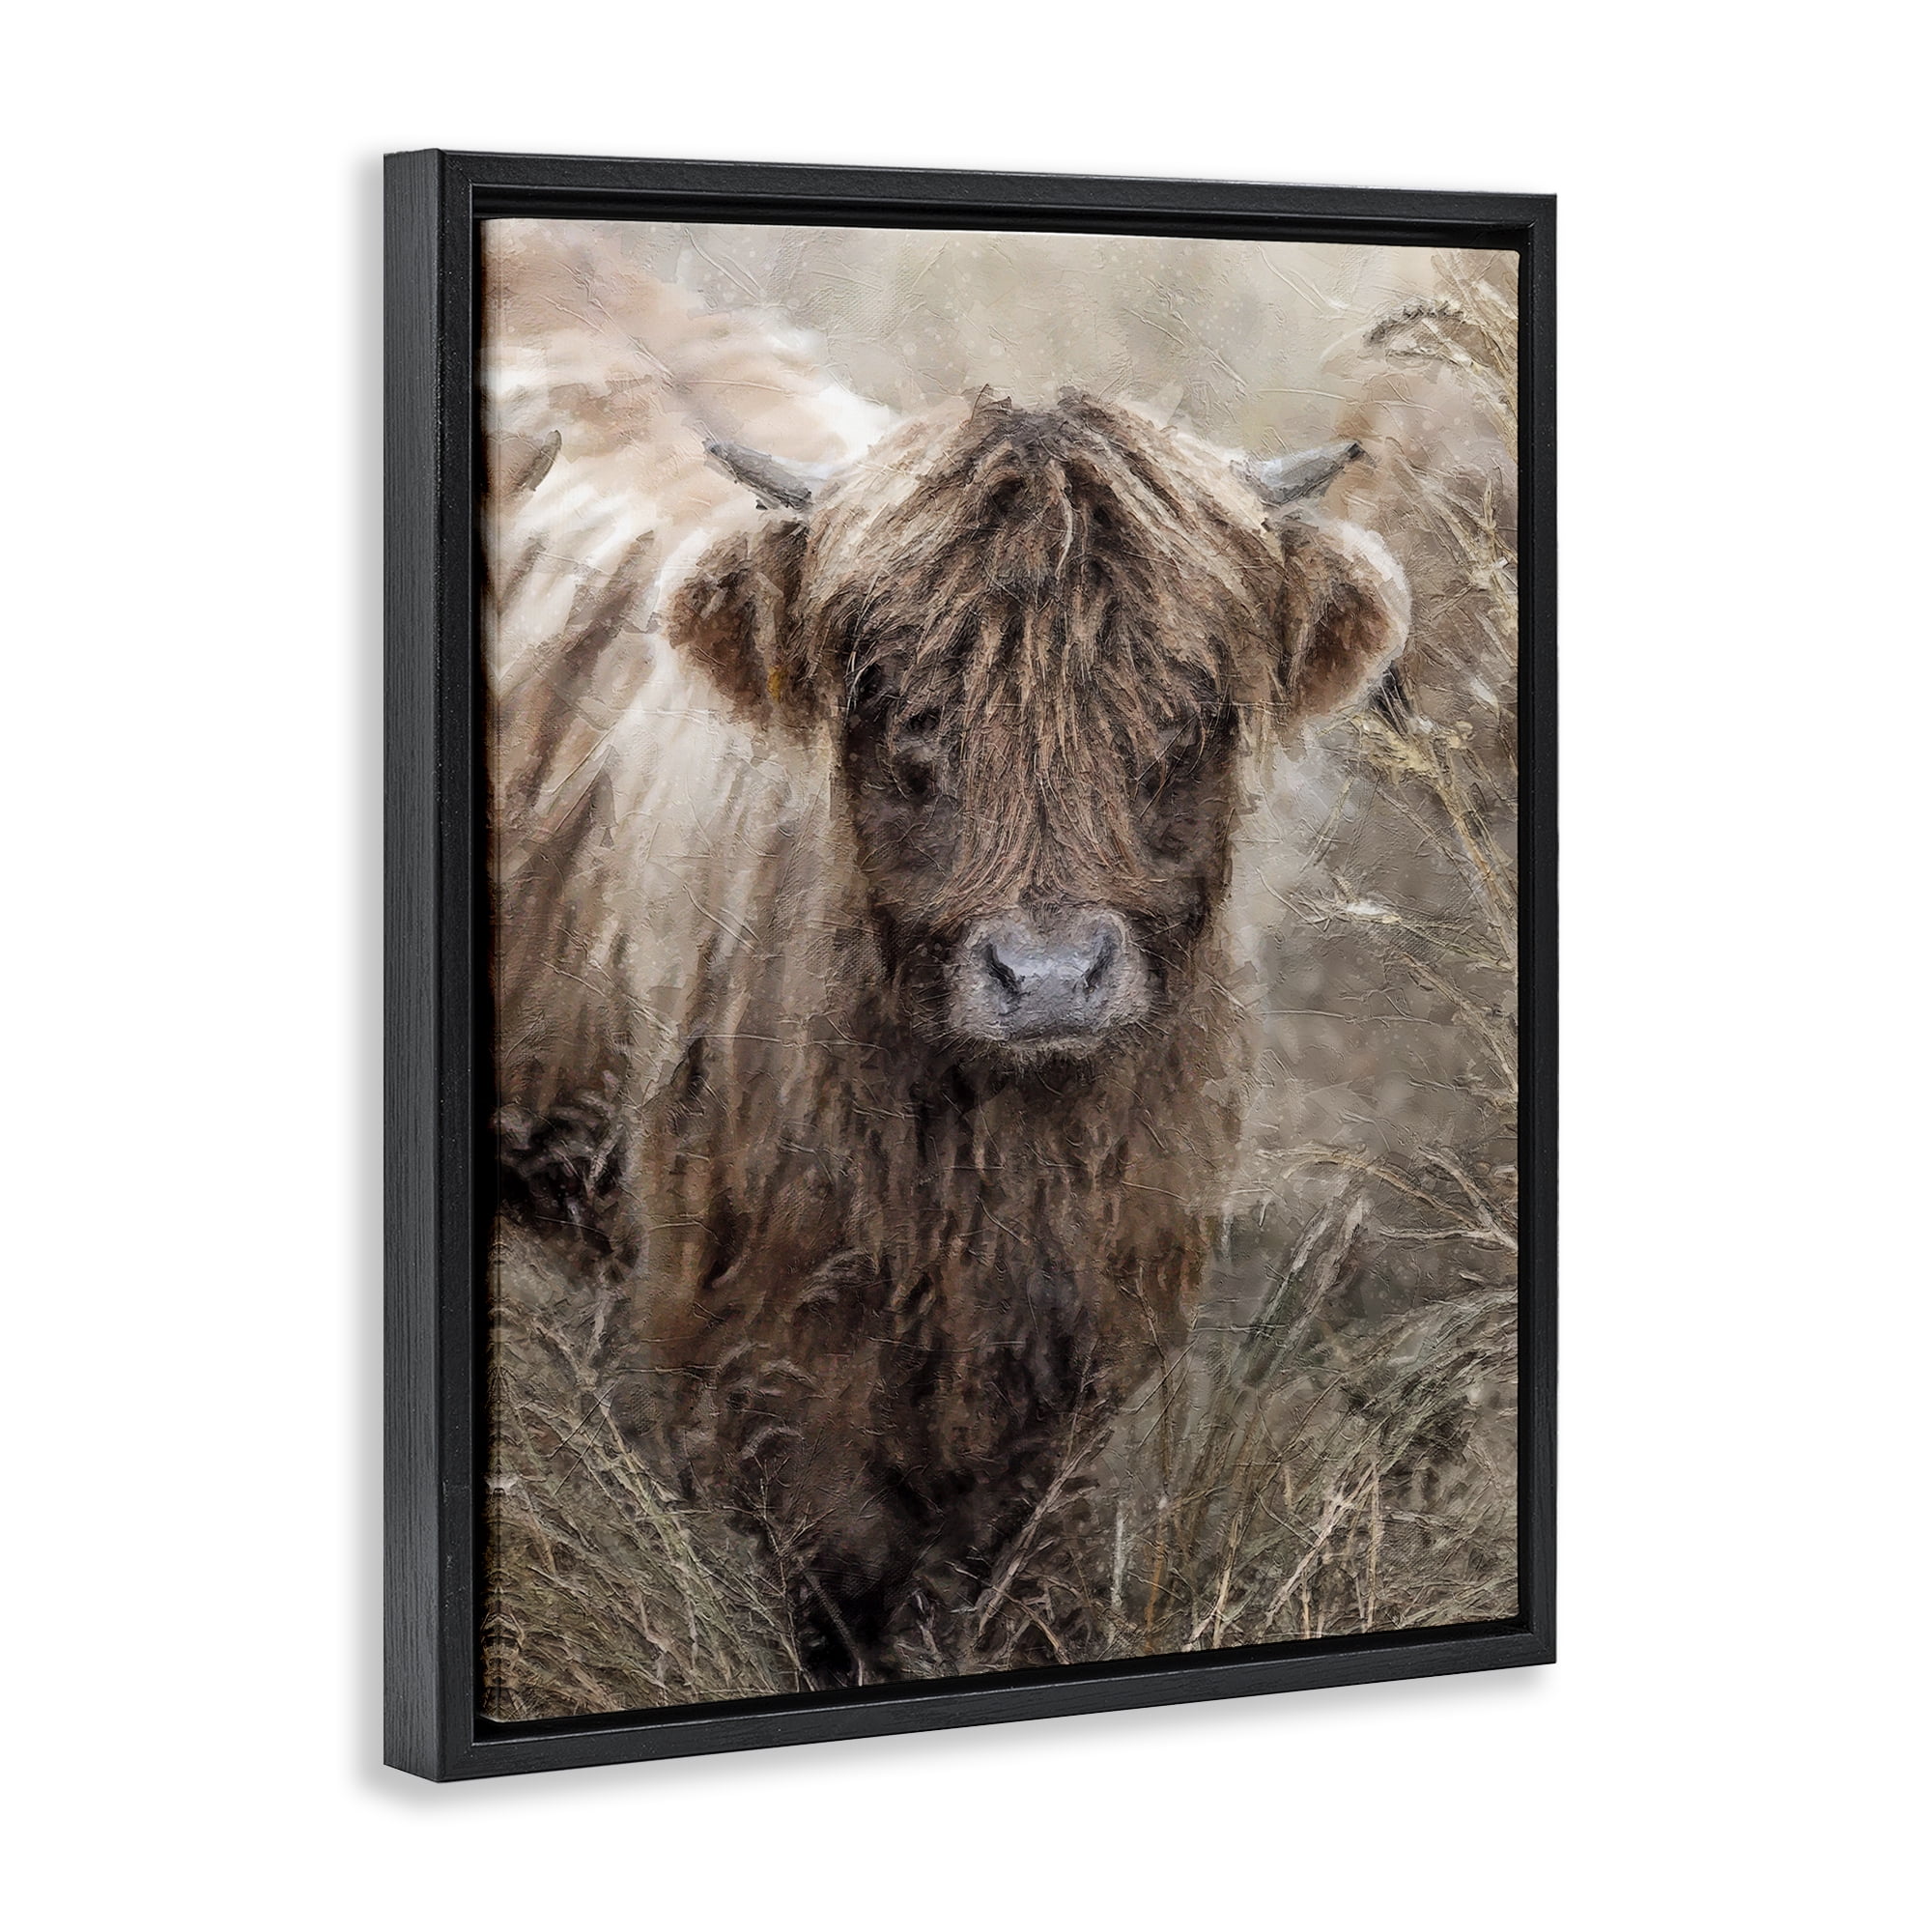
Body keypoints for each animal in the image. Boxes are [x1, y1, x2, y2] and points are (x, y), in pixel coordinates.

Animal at [492, 376, 1410, 1682]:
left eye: (1188, 714)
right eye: (900, 710)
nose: (1049, 976)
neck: (989, 1163)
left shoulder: (1084, 1346)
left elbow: (1030, 1564)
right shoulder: (752, 1338)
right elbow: (837, 1569)